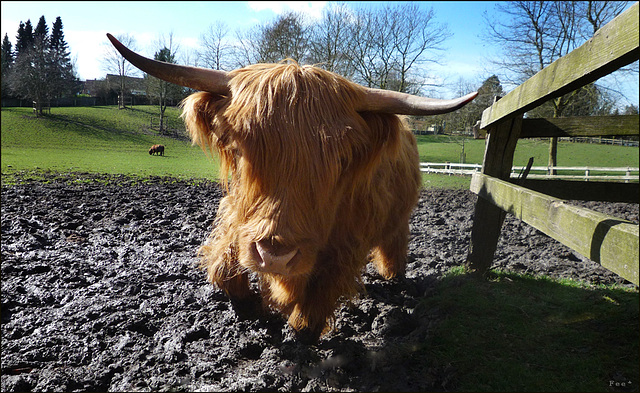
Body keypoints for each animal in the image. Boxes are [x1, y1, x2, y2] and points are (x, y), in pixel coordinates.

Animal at [107, 33, 476, 340]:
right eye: (240, 146)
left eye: (341, 159)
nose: (275, 256)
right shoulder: (238, 217)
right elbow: (225, 266)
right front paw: (252, 304)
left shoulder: (347, 244)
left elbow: (316, 297)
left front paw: (301, 327)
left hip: (398, 219)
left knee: (395, 242)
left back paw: (393, 275)